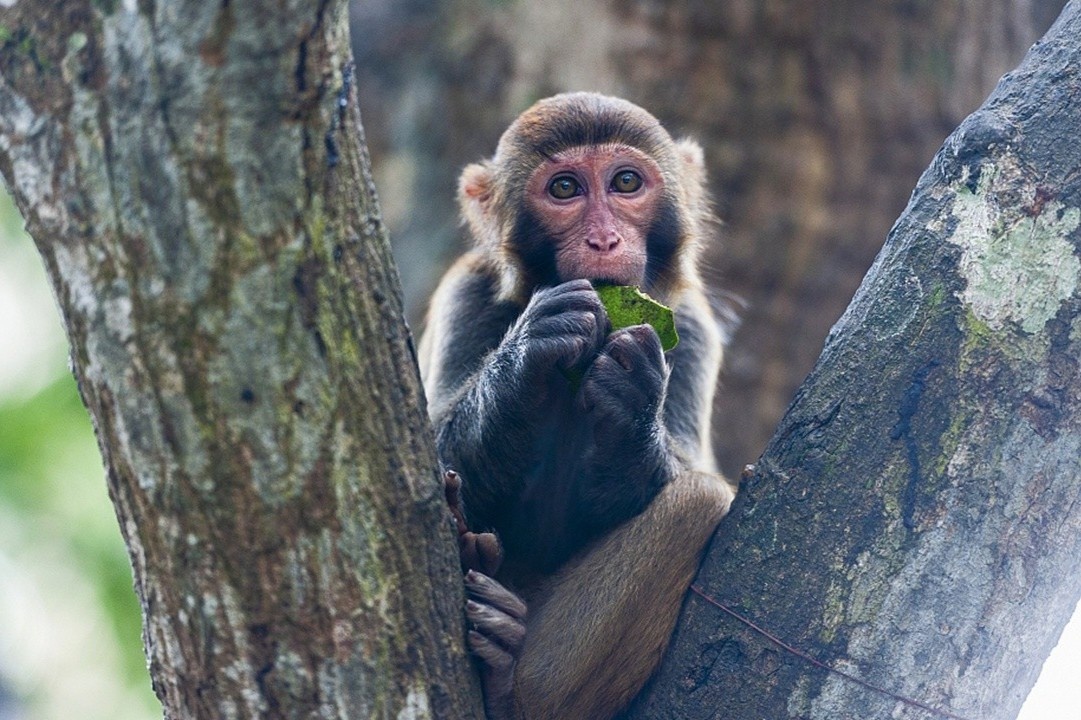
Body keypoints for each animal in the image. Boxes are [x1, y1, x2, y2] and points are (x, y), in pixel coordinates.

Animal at [417, 92, 734, 720]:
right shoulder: (467, 294)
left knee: (701, 500)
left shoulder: (689, 324)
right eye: (564, 189)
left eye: (626, 182)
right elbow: (433, 458)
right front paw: (526, 353)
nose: (604, 241)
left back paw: (513, 685)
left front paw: (634, 402)